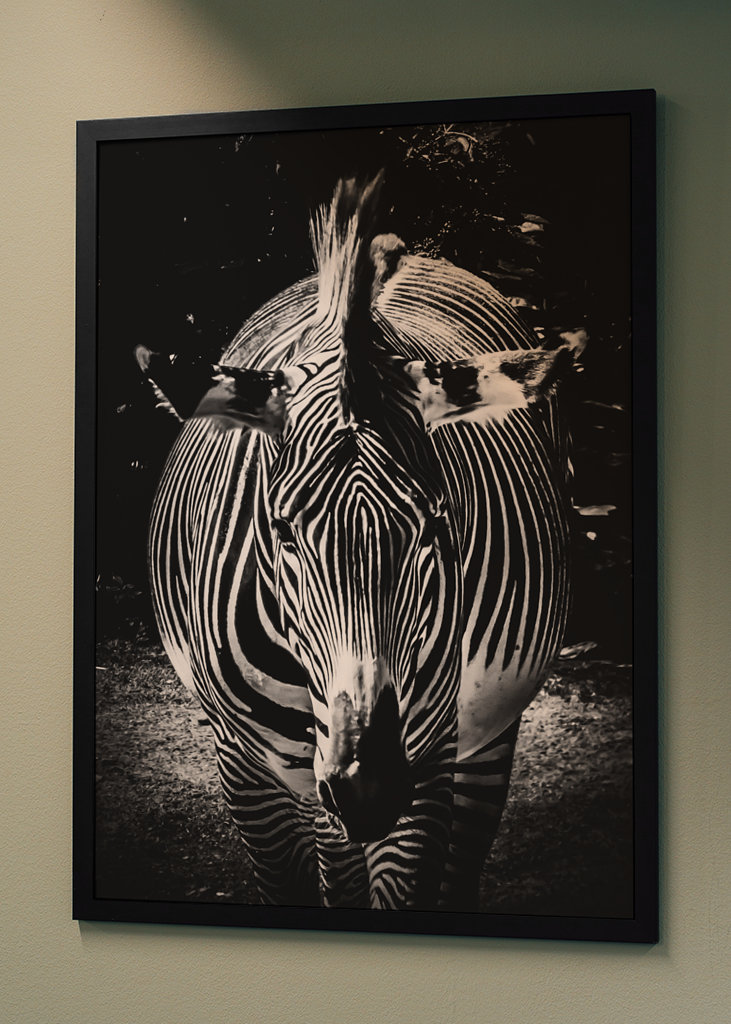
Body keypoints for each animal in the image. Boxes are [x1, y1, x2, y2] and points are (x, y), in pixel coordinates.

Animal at [141, 177, 572, 910]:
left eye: (435, 526)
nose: (367, 786)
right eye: (282, 530)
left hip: (486, 736)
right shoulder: (246, 773)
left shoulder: (426, 763)